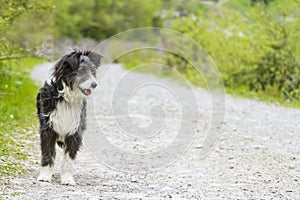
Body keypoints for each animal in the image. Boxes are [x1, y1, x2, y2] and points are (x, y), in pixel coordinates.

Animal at [36, 49, 102, 185]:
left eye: (92, 71)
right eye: (81, 71)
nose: (94, 84)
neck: (67, 98)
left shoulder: (75, 132)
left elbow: (68, 159)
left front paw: (67, 179)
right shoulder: (48, 129)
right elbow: (47, 152)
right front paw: (45, 176)